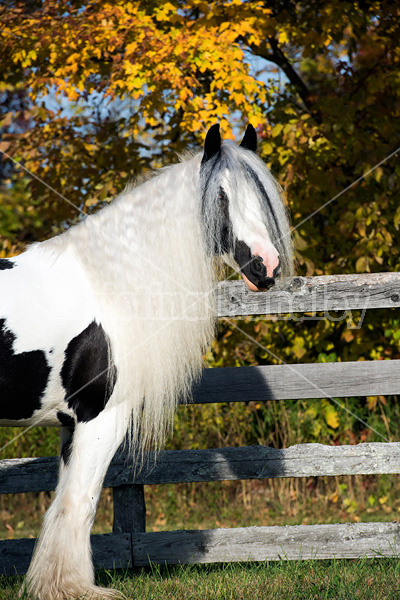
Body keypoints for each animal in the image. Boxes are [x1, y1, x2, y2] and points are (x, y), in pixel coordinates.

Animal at [0, 124, 294, 596]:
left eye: (262, 194)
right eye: (221, 196)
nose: (265, 266)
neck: (107, 288)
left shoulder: (69, 425)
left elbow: (64, 503)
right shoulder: (100, 418)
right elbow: (81, 504)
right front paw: (74, 589)